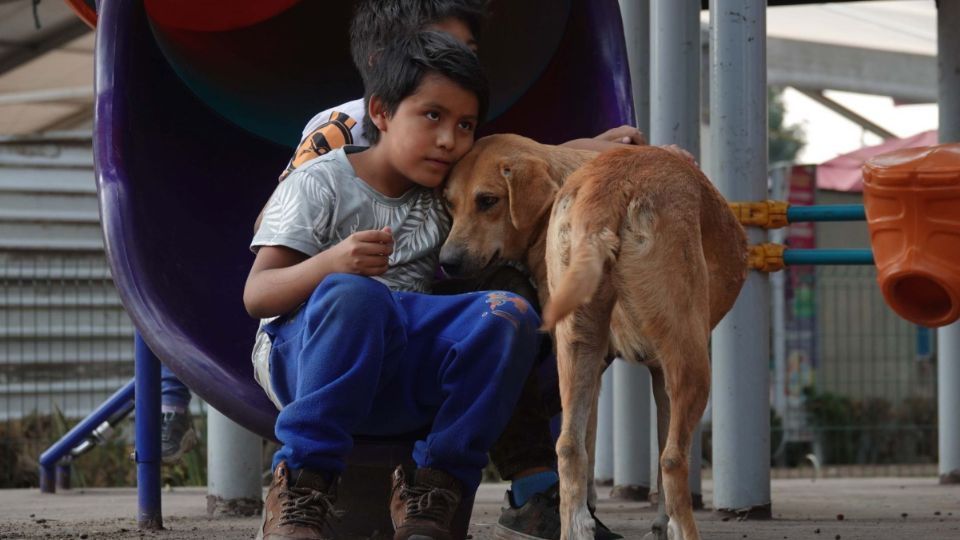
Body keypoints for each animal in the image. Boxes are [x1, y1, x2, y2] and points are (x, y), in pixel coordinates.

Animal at [442, 134, 752, 540]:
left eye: (487, 201)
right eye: (451, 205)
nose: (446, 262)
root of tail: (610, 187)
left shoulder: (618, 371)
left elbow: (592, 447)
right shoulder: (662, 370)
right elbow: (661, 456)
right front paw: (663, 524)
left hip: (577, 350)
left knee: (569, 447)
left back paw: (576, 526)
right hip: (690, 358)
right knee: (672, 459)